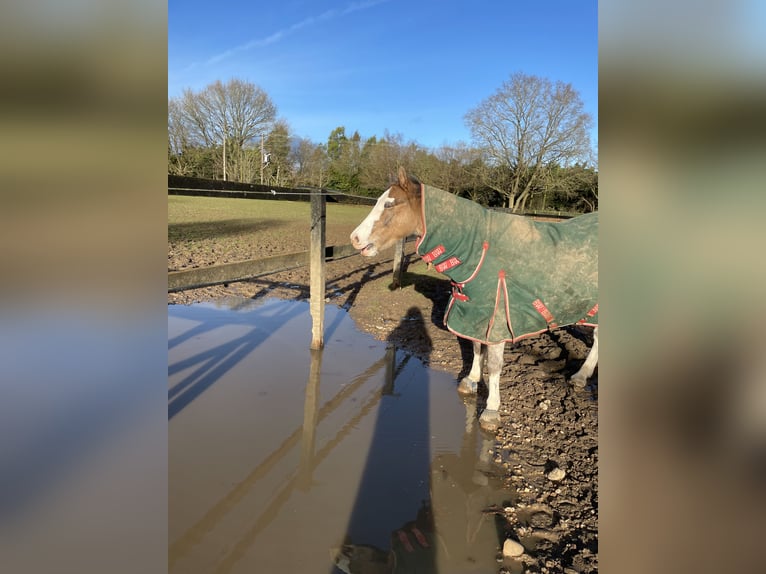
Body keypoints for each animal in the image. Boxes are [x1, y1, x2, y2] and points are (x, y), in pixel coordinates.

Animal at [354, 168, 600, 432]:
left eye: (389, 204)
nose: (354, 238)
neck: (480, 252)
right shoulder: (475, 312)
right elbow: (475, 347)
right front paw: (471, 380)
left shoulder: (497, 316)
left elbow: (494, 365)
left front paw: (491, 410)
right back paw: (581, 377)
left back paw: (581, 376)